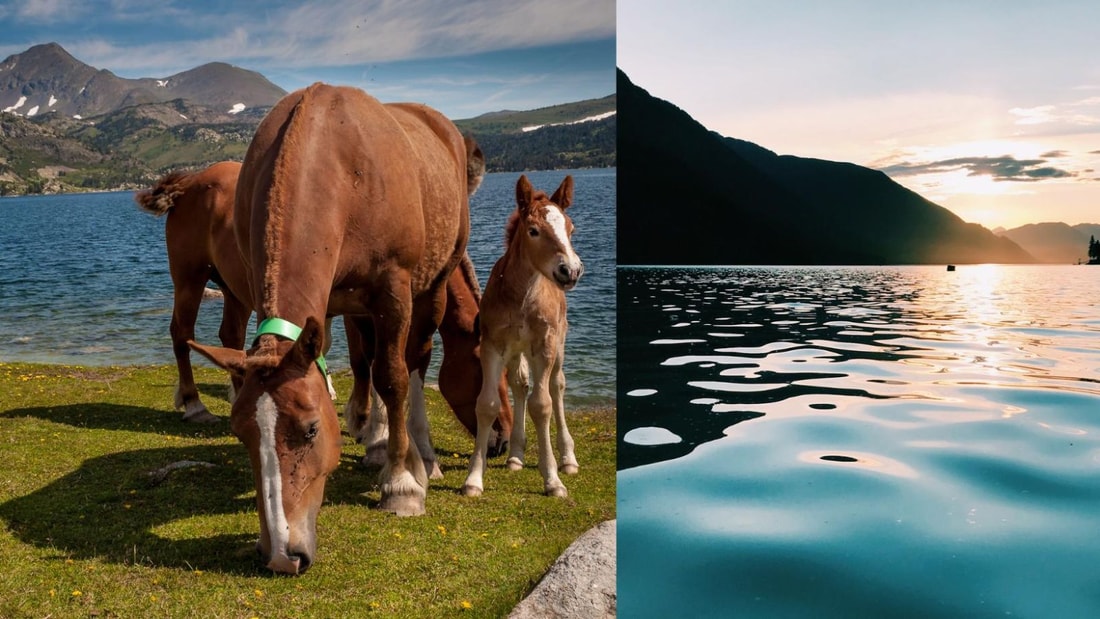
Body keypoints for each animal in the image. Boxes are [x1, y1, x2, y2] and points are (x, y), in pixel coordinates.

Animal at [189, 83, 477, 576]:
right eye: (240, 432)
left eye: (309, 430)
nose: (283, 555)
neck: (341, 168)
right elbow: (368, 369)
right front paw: (379, 447)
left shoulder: (393, 291)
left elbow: (394, 379)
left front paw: (402, 485)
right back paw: (379, 442)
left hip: (433, 285)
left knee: (414, 363)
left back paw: (422, 456)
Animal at [462, 174, 585, 499]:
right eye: (533, 231)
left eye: (571, 229)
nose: (570, 270)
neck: (522, 296)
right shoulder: (493, 345)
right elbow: (487, 404)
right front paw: (473, 479)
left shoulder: (544, 346)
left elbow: (542, 405)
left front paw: (553, 480)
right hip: (517, 351)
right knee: (520, 385)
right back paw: (515, 456)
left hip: (558, 343)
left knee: (557, 386)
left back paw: (568, 459)